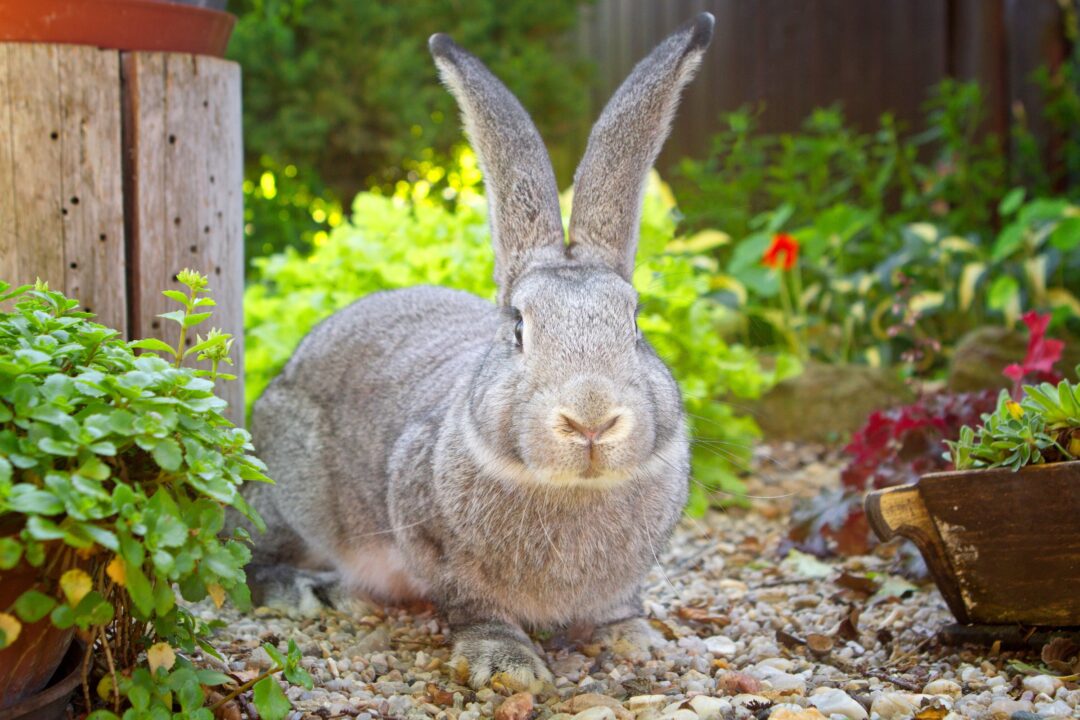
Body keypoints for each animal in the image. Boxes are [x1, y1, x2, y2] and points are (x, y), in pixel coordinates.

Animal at [238, 13, 715, 688]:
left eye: (635, 323)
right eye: (518, 328)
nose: (591, 420)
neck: (570, 489)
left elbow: (620, 604)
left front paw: (635, 640)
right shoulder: (434, 543)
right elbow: (472, 604)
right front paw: (508, 663)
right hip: (287, 492)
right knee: (247, 559)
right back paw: (318, 593)